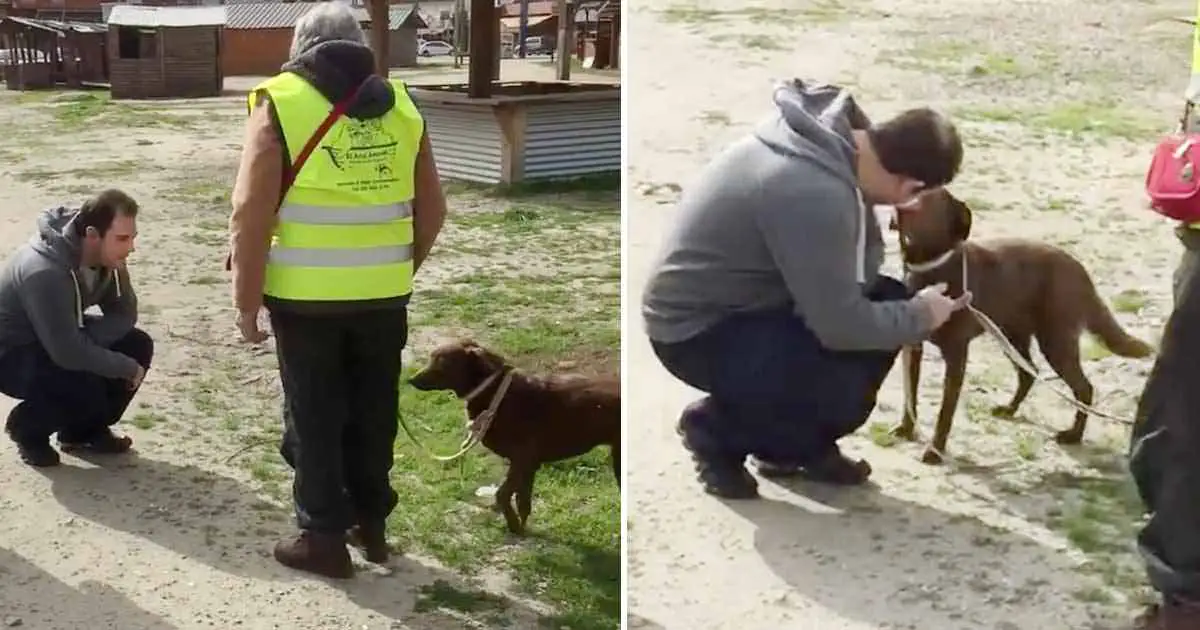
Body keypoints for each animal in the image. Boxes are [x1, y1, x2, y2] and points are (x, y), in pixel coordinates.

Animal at [410, 338, 619, 535]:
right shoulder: (529, 466)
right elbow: (523, 502)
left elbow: (502, 495)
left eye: (442, 364)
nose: (411, 380)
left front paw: (513, 526)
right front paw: (522, 528)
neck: (495, 394)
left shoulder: (522, 460)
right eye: (430, 358)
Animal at [892, 188, 1152, 460]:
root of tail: (1080, 270)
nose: (903, 203)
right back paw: (1010, 409)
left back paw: (1073, 435)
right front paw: (906, 429)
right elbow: (909, 394)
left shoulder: (956, 354)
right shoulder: (912, 348)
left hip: (1055, 343)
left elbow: (945, 411)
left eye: (932, 195)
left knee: (1083, 388)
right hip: (1013, 336)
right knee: (1029, 373)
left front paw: (935, 450)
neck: (930, 265)